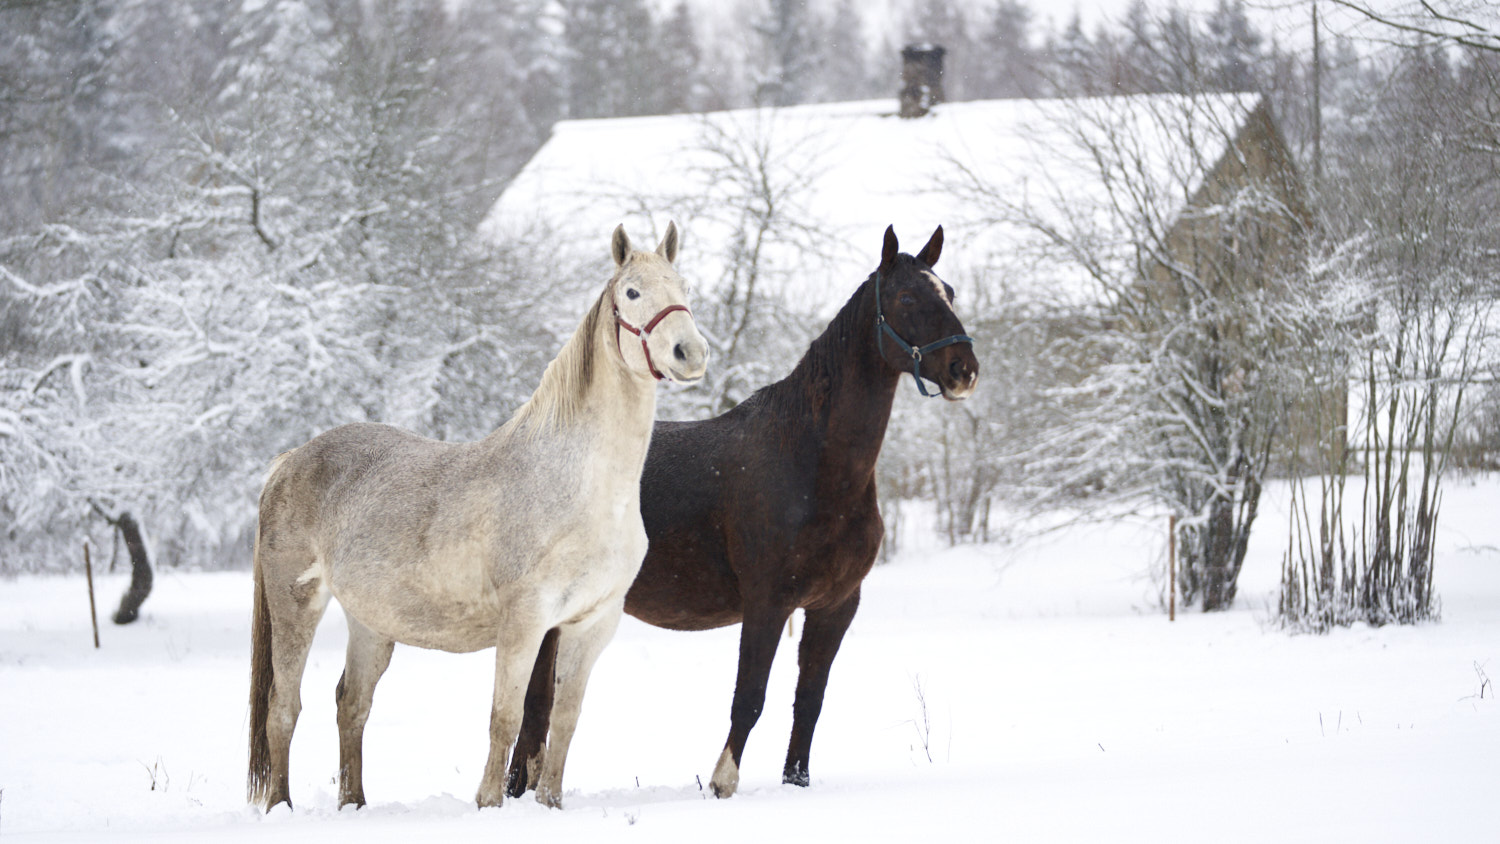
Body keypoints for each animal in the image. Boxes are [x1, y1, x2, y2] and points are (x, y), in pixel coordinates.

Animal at [246, 224, 708, 809]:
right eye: (632, 292)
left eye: (684, 287)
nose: (690, 353)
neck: (580, 486)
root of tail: (289, 461)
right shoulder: (525, 622)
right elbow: (504, 719)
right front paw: (489, 804)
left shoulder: (590, 625)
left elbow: (566, 722)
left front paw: (550, 804)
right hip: (296, 603)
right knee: (283, 709)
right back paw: (280, 807)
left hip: (371, 622)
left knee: (352, 706)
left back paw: (355, 804)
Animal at [507, 223, 972, 797]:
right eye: (907, 297)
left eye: (949, 292)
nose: (963, 370)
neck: (811, 463)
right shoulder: (767, 602)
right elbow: (749, 699)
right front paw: (722, 783)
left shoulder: (835, 606)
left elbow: (809, 702)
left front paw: (796, 781)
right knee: (532, 709)